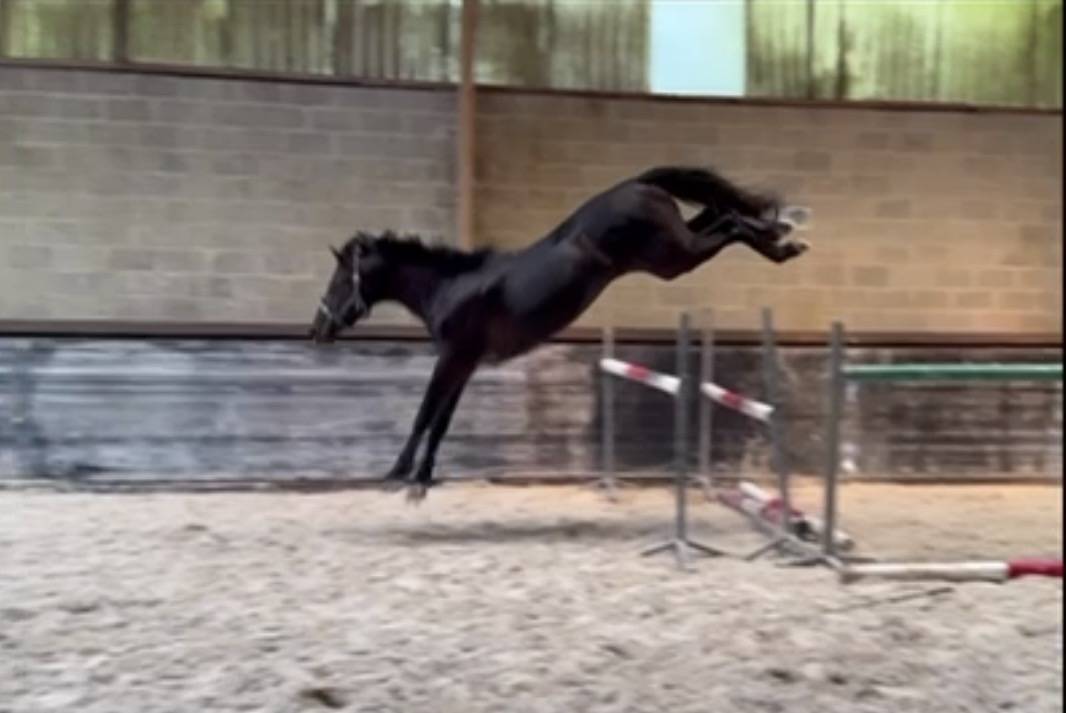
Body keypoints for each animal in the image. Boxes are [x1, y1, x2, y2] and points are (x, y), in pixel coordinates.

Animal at [310, 165, 809, 501]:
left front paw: (398, 476)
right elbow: (441, 419)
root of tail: (638, 183)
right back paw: (781, 235)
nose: (317, 329)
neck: (451, 287)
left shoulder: (452, 357)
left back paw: (784, 243)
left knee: (729, 223)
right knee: (719, 213)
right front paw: (421, 479)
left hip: (673, 257)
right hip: (677, 246)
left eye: (339, 280)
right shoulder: (463, 363)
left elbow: (424, 414)